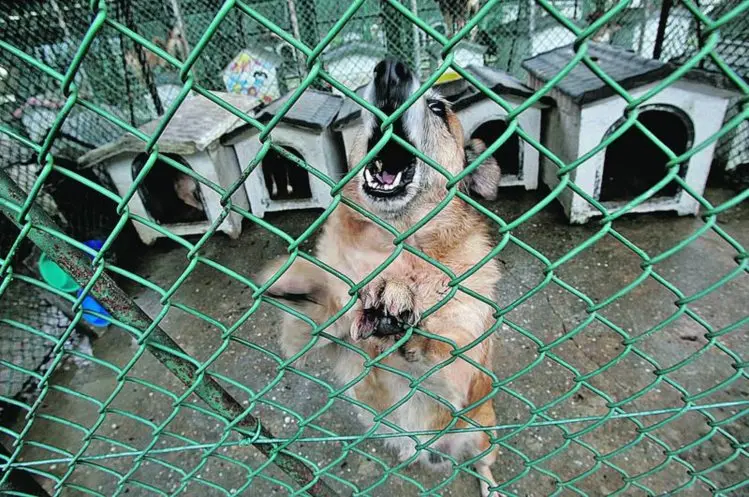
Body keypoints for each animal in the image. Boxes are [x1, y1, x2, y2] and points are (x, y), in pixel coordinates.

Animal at [258, 59, 502, 496]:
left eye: (438, 108)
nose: (391, 70)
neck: (394, 246)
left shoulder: (460, 375)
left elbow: (441, 348)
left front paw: (398, 305)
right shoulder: (314, 336)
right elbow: (320, 305)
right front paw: (291, 279)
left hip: (483, 435)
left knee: (483, 464)